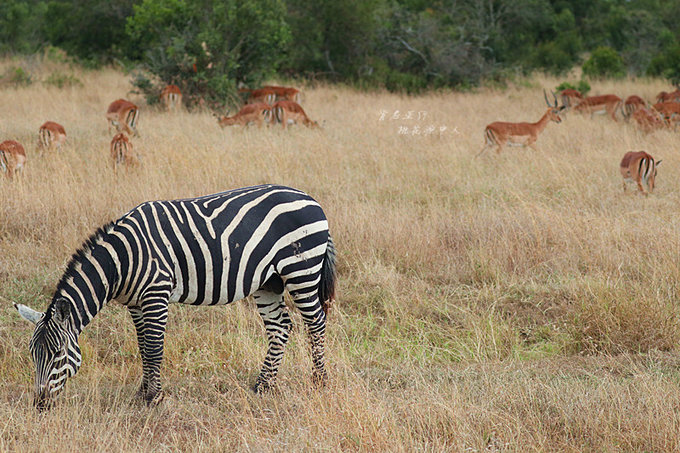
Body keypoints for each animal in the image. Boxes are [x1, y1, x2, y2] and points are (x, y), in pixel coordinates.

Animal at [13, 184, 338, 410]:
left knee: (316, 322)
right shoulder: (135, 303)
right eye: (32, 354)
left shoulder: (156, 293)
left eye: (58, 354)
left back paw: (319, 382)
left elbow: (155, 347)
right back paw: (263, 385)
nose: (40, 406)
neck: (121, 262)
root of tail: (310, 198)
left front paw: (154, 398)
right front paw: (142, 393)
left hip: (301, 269)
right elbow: (143, 348)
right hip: (268, 281)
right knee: (280, 327)